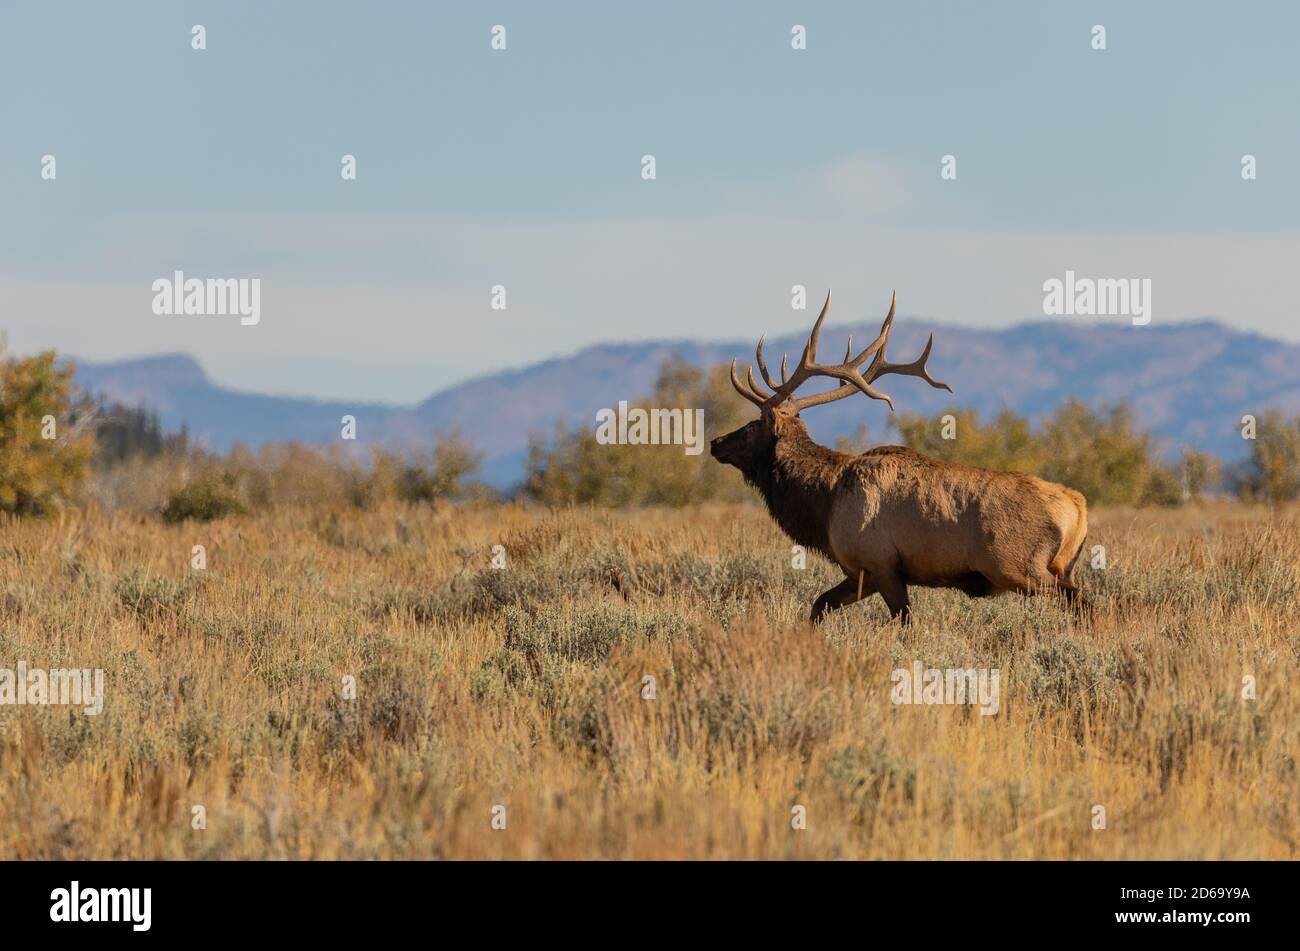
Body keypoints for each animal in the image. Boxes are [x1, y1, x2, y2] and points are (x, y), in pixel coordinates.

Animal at [709, 290, 1090, 624]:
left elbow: (905, 622)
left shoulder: (882, 563)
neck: (823, 503)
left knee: (1083, 602)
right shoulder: (860, 572)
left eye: (753, 426)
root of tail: (1077, 507)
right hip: (1059, 566)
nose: (715, 442)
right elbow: (819, 606)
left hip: (1018, 567)